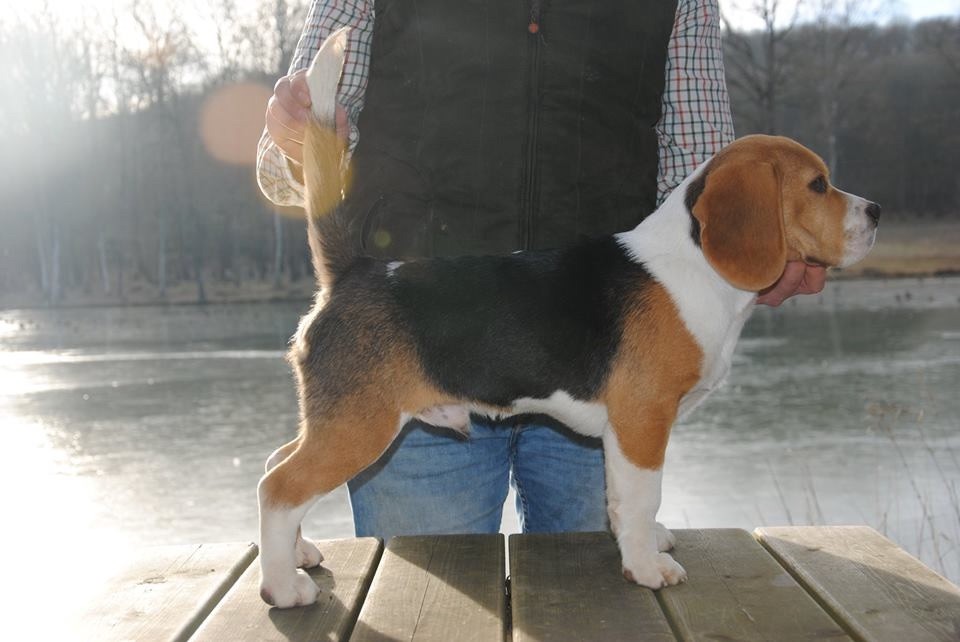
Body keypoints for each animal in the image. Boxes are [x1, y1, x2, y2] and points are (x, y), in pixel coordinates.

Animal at [257, 28, 880, 608]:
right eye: (817, 184)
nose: (876, 211)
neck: (697, 263)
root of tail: (355, 270)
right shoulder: (642, 421)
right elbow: (640, 497)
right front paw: (647, 567)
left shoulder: (629, 434)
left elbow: (626, 501)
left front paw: (648, 542)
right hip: (360, 424)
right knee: (278, 486)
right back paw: (283, 587)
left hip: (337, 420)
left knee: (276, 461)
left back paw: (299, 554)